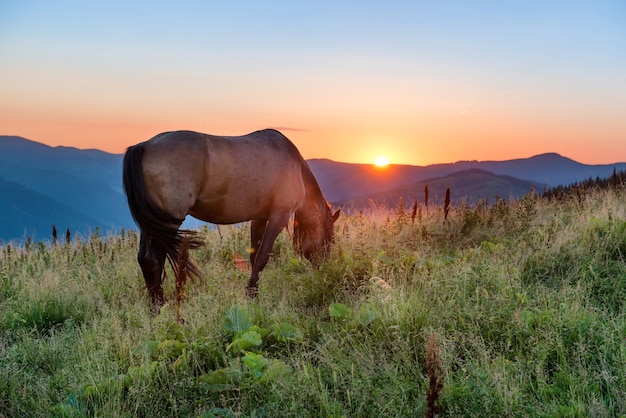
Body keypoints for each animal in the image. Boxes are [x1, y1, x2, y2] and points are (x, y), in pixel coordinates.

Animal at [120, 129, 336, 306]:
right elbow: (262, 256)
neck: (294, 166)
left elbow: (254, 255)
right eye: (329, 240)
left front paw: (253, 292)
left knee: (145, 258)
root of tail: (144, 146)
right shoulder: (279, 216)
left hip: (153, 224)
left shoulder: (259, 217)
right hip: (167, 221)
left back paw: (155, 305)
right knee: (153, 258)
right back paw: (159, 306)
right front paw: (251, 295)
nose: (325, 271)